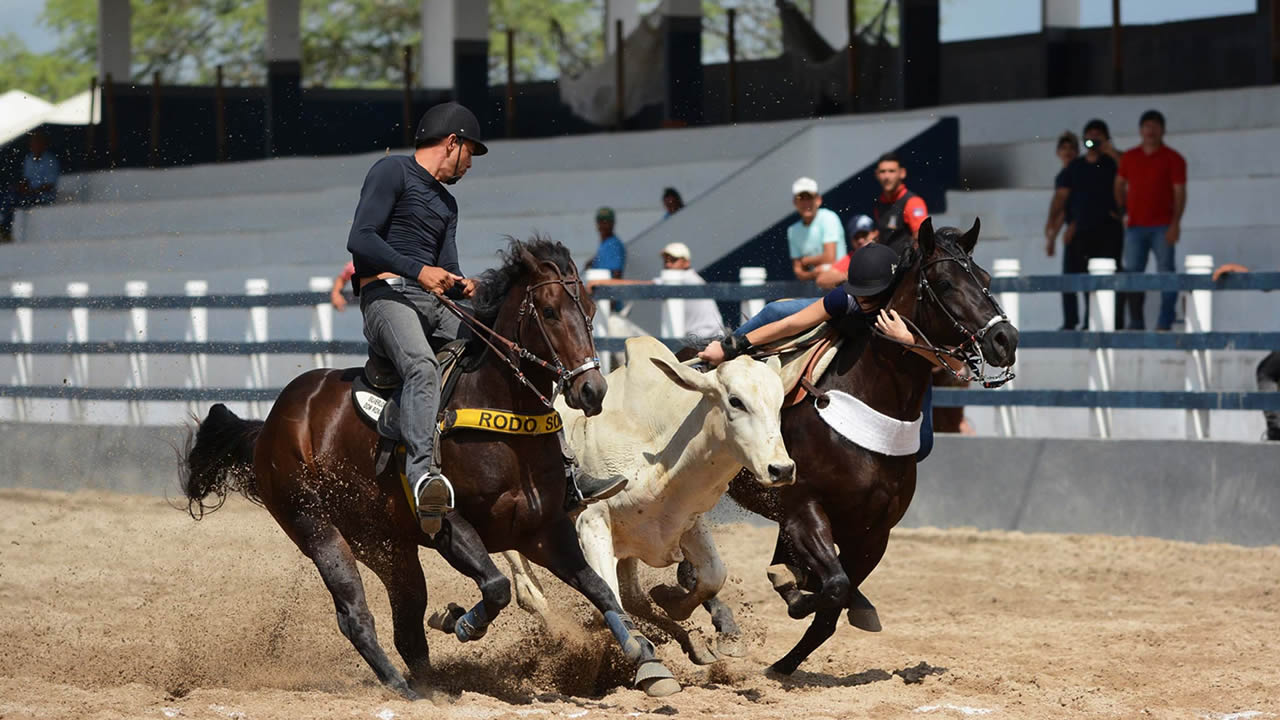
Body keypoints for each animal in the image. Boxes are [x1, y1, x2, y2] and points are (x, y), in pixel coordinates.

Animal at [183, 238, 680, 696]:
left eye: (592, 310)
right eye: (550, 310)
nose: (592, 390)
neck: (502, 419)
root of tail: (269, 425)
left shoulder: (543, 531)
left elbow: (599, 589)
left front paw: (648, 660)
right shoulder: (449, 526)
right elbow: (497, 586)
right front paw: (461, 622)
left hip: (387, 547)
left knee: (407, 625)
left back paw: (431, 684)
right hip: (317, 529)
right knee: (355, 614)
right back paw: (401, 687)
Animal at [506, 335, 788, 661]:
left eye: (780, 404)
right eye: (736, 401)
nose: (782, 468)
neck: (660, 455)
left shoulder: (687, 522)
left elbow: (713, 575)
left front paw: (670, 601)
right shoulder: (592, 522)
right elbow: (609, 596)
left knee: (634, 596)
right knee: (528, 590)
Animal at [691, 217, 1018, 671]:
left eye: (985, 279)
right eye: (945, 283)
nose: (1005, 339)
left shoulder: (872, 533)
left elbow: (833, 602)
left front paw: (784, 662)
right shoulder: (805, 511)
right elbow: (830, 585)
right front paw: (794, 595)